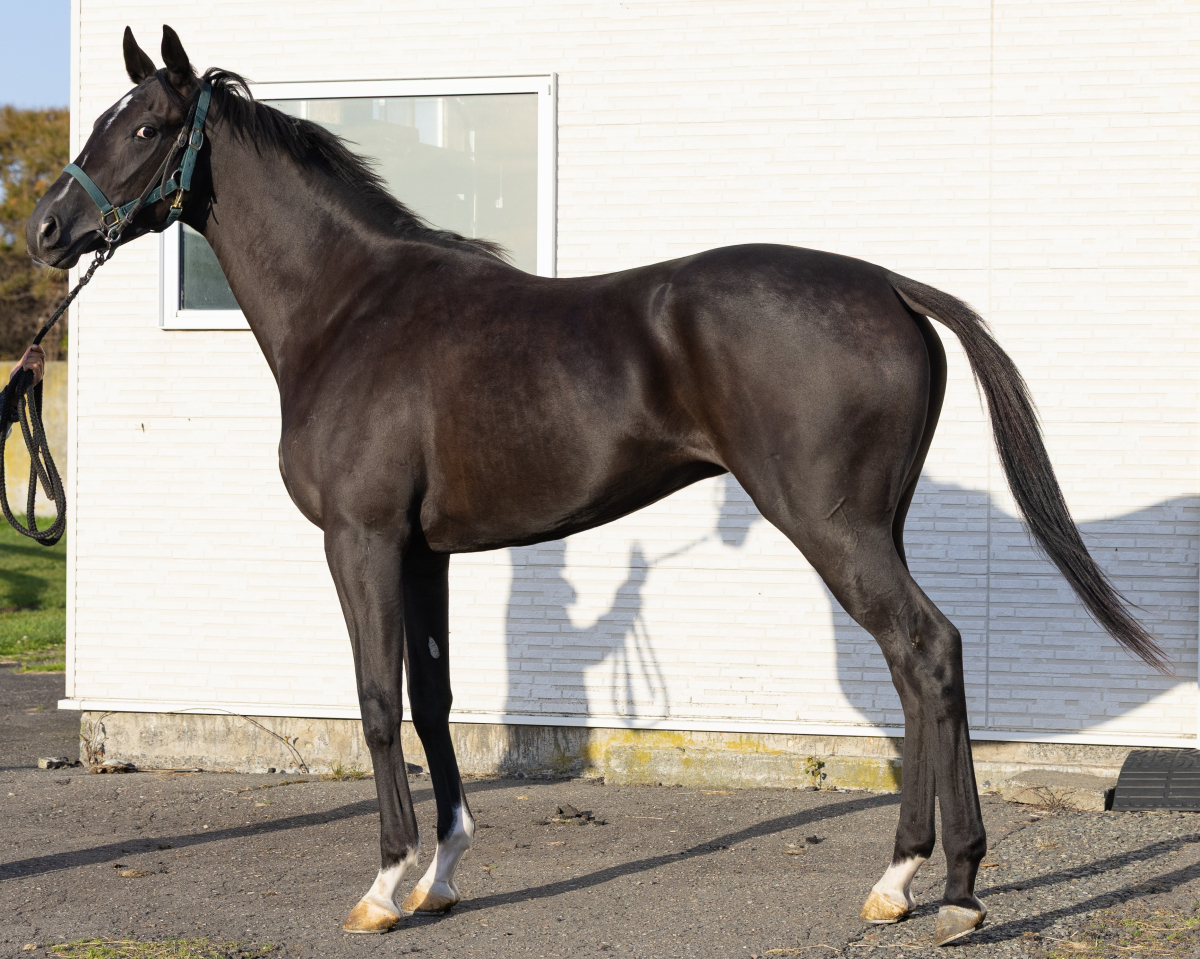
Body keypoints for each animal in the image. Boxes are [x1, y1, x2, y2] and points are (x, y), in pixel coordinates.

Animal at [27, 25, 1165, 947]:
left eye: (142, 127)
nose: (44, 231)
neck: (353, 308)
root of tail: (890, 286)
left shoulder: (360, 540)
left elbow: (377, 700)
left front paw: (384, 886)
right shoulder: (425, 552)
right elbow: (436, 701)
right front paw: (442, 875)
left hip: (834, 527)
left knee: (927, 651)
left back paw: (942, 886)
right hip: (874, 526)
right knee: (923, 664)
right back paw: (918, 883)